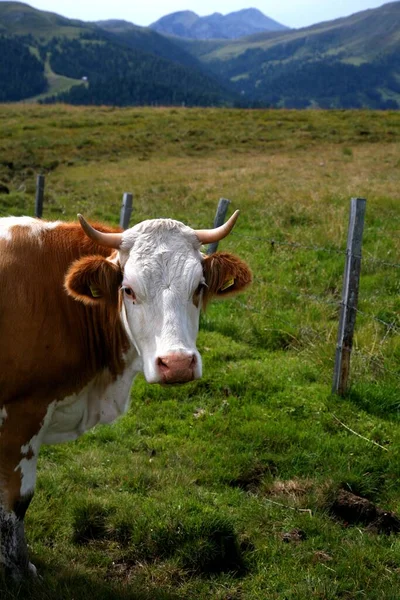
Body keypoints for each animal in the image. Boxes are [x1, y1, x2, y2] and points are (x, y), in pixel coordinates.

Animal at [0, 212, 250, 580]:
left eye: (199, 287)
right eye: (128, 289)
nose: (177, 363)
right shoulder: (23, 414)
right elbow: (17, 501)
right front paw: (18, 572)